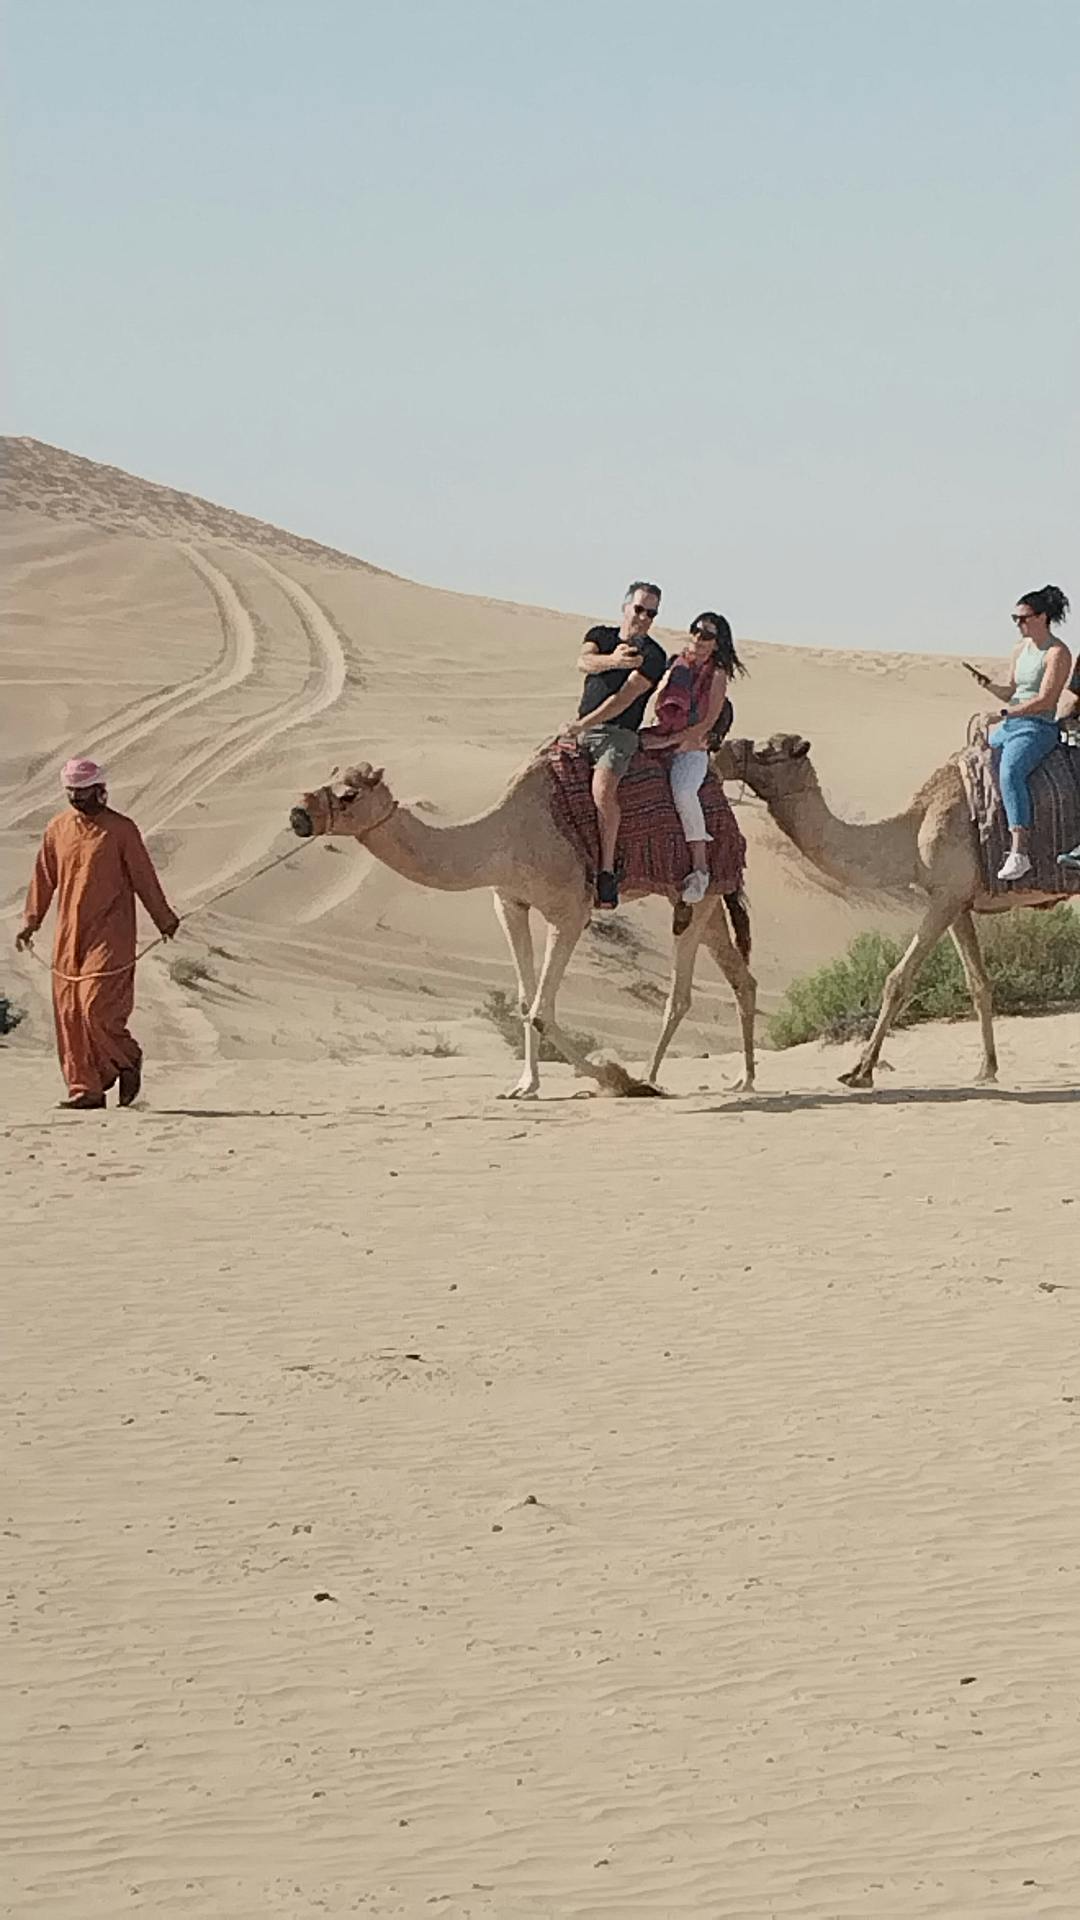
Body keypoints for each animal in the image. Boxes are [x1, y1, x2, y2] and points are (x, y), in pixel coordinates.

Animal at [289, 756, 757, 1097]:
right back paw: (744, 1078)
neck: (502, 838)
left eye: (348, 795)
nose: (297, 815)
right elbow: (525, 1001)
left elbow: (541, 1012)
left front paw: (615, 1077)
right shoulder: (509, 903)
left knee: (679, 995)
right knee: (740, 977)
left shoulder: (569, 911)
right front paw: (525, 1086)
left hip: (698, 891)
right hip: (701, 899)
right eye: (327, 776)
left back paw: (651, 1078)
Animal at [714, 732, 1077, 1088]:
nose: (720, 754)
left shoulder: (945, 898)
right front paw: (986, 1069)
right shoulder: (957, 902)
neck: (913, 835)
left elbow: (897, 980)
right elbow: (978, 983)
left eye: (765, 751)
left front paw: (860, 1071)